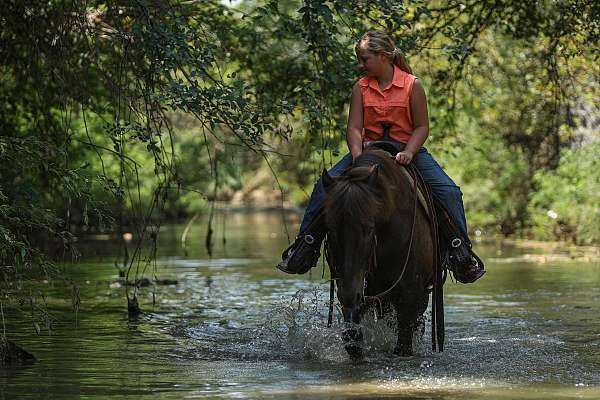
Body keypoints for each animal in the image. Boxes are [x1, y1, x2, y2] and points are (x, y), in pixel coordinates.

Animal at [322, 148, 438, 360]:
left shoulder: (411, 294)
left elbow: (404, 344)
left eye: (369, 229)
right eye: (330, 229)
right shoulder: (355, 291)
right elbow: (353, 335)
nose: (349, 295)